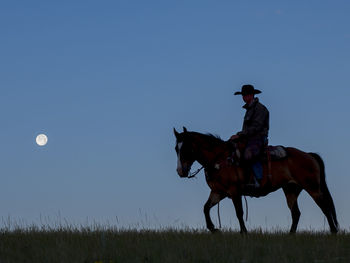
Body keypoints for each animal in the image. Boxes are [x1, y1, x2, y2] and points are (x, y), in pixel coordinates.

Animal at [175, 128, 340, 235]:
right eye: (176, 148)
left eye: (186, 149)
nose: (180, 171)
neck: (220, 160)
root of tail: (309, 155)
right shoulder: (218, 192)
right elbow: (205, 208)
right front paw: (213, 228)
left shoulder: (234, 191)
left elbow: (239, 212)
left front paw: (244, 233)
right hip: (291, 189)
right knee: (296, 213)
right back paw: (291, 235)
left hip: (312, 187)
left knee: (325, 207)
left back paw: (333, 231)